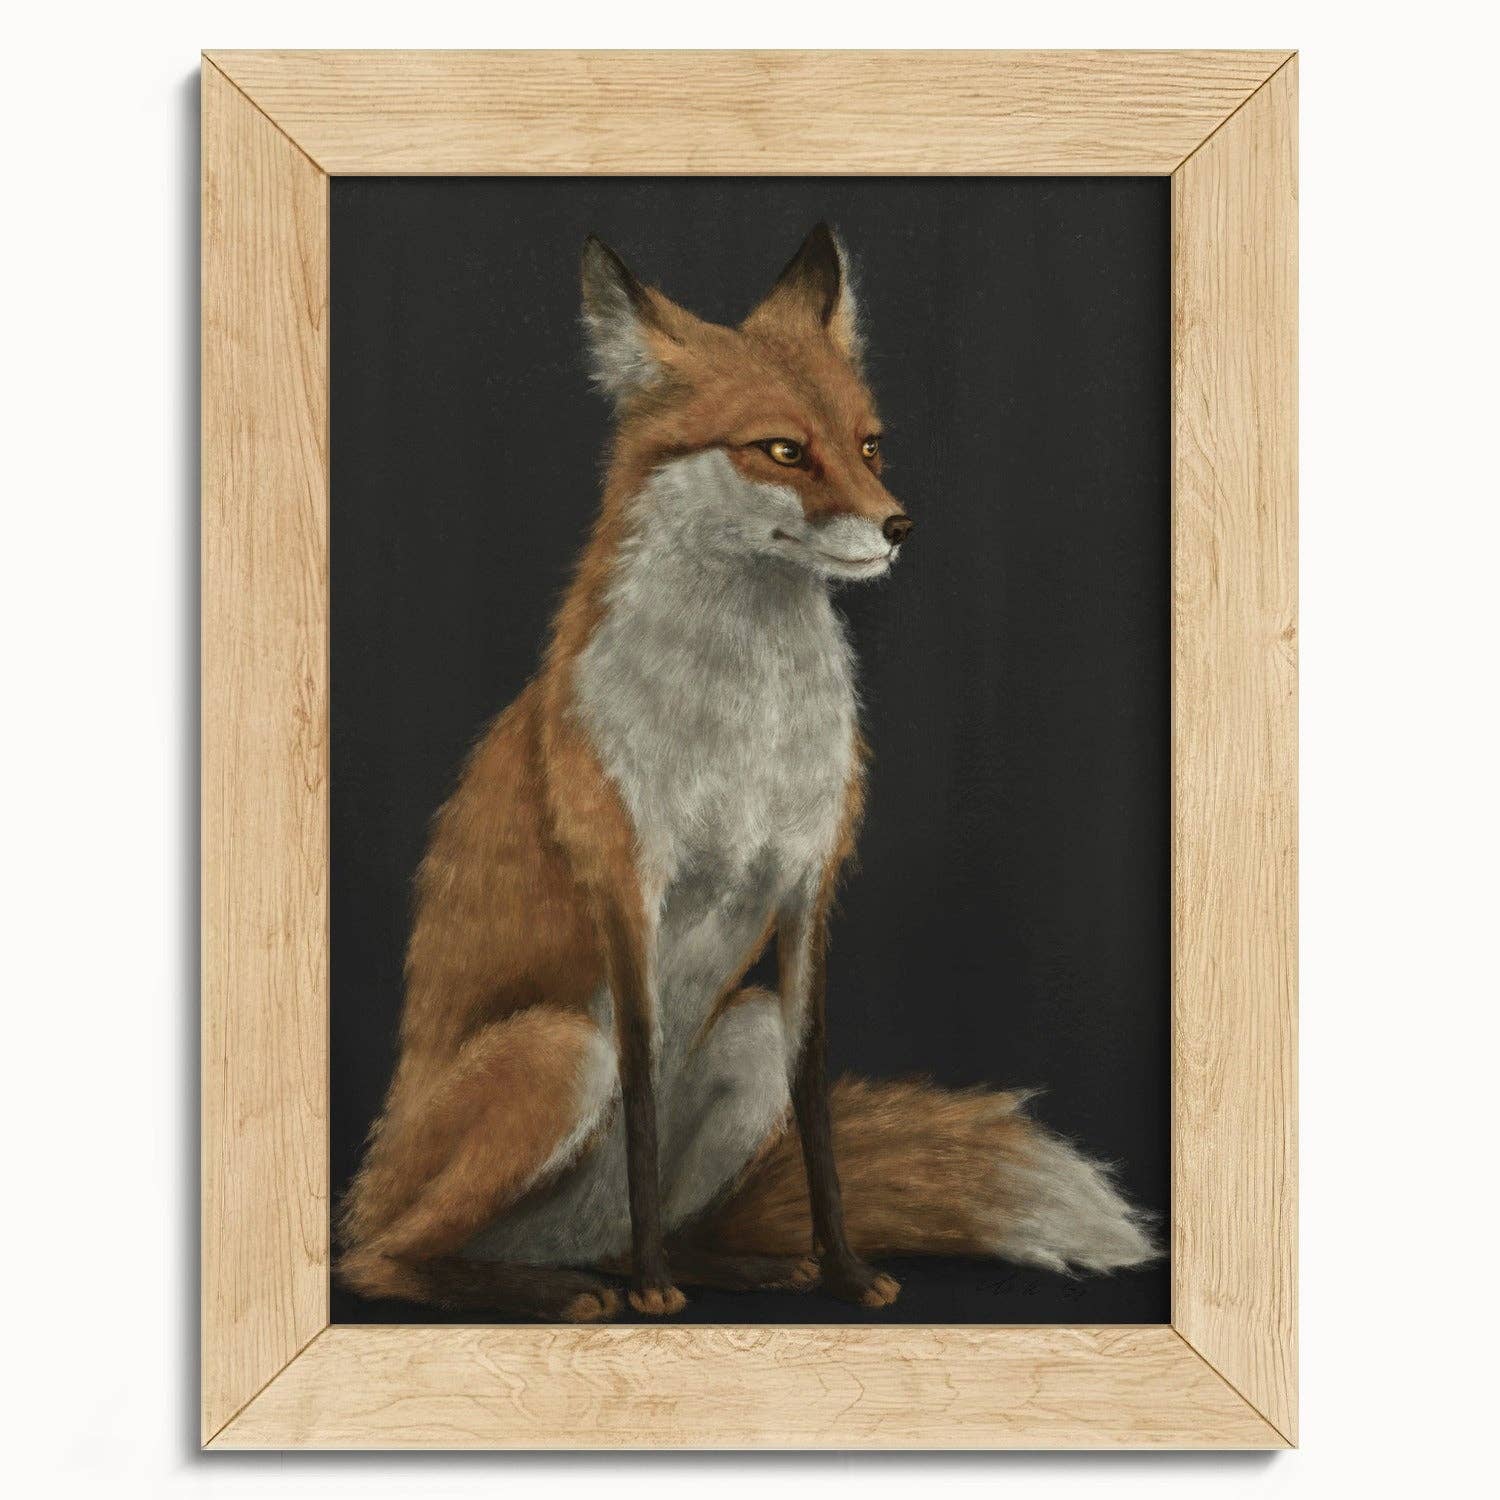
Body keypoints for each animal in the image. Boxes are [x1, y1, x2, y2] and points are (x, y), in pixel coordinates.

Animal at [337, 224, 1156, 1322]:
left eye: (869, 445)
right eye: (782, 450)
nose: (899, 526)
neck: (747, 730)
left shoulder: (810, 886)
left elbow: (816, 1114)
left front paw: (844, 1272)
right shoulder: (629, 888)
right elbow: (642, 1101)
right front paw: (655, 1294)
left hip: (746, 1032)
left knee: (645, 1223)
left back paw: (727, 1265)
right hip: (558, 1051)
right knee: (380, 1261)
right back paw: (569, 1288)